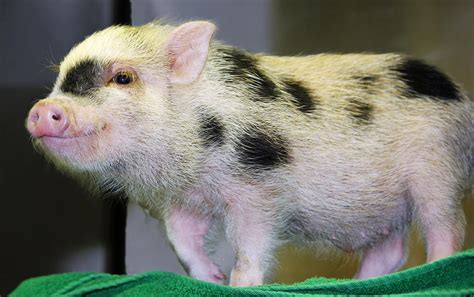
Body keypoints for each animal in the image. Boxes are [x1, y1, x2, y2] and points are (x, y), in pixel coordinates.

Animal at [27, 20, 472, 284]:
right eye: (62, 79)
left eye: (123, 78)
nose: (41, 110)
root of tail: (463, 100)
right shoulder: (183, 199)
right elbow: (182, 241)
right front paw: (211, 279)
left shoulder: (257, 191)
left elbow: (251, 245)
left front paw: (238, 284)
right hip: (385, 209)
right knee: (391, 250)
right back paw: (363, 284)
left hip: (436, 170)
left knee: (445, 228)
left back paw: (435, 268)